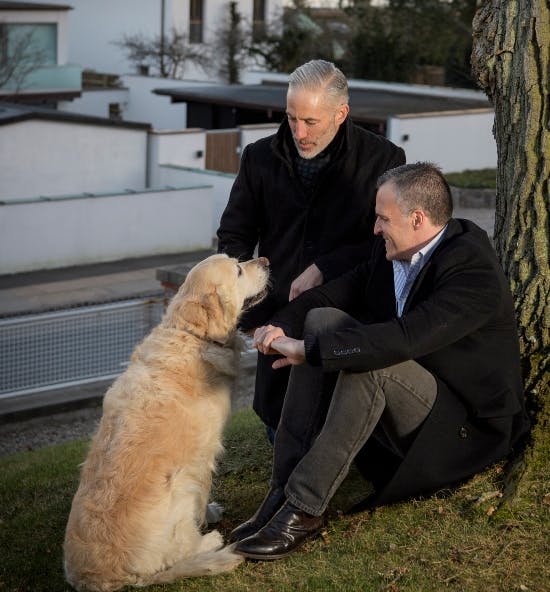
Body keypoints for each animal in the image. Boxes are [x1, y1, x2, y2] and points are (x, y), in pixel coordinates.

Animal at [63, 254, 270, 592]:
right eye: (239, 270)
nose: (264, 259)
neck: (191, 336)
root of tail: (101, 578)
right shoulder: (202, 454)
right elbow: (203, 492)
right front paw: (209, 515)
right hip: (178, 487)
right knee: (180, 551)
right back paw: (209, 542)